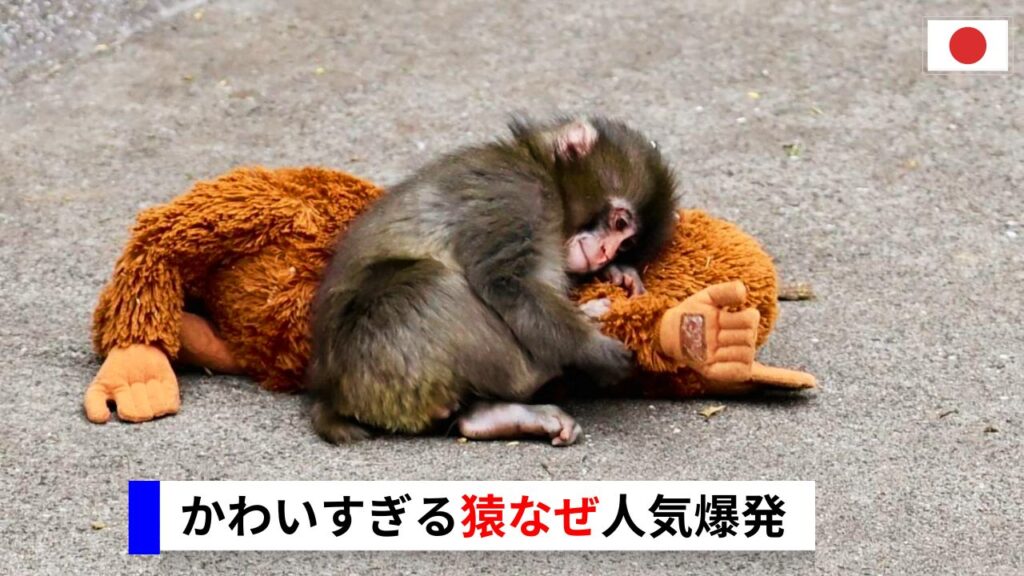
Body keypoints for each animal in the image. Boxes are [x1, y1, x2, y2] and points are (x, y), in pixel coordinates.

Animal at [307, 116, 678, 446]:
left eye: (626, 244)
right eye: (619, 223)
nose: (604, 254)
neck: (541, 170)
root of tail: (331, 394)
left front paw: (619, 273)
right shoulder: (518, 193)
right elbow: (507, 282)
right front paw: (592, 349)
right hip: (377, 354)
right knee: (430, 283)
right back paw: (543, 368)